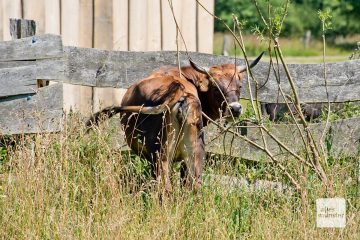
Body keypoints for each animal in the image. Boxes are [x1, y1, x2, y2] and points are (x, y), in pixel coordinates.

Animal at [86, 53, 262, 193]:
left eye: (239, 85)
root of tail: (180, 92)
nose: (235, 108)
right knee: (193, 186)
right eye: (216, 88)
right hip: (194, 153)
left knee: (166, 188)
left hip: (161, 156)